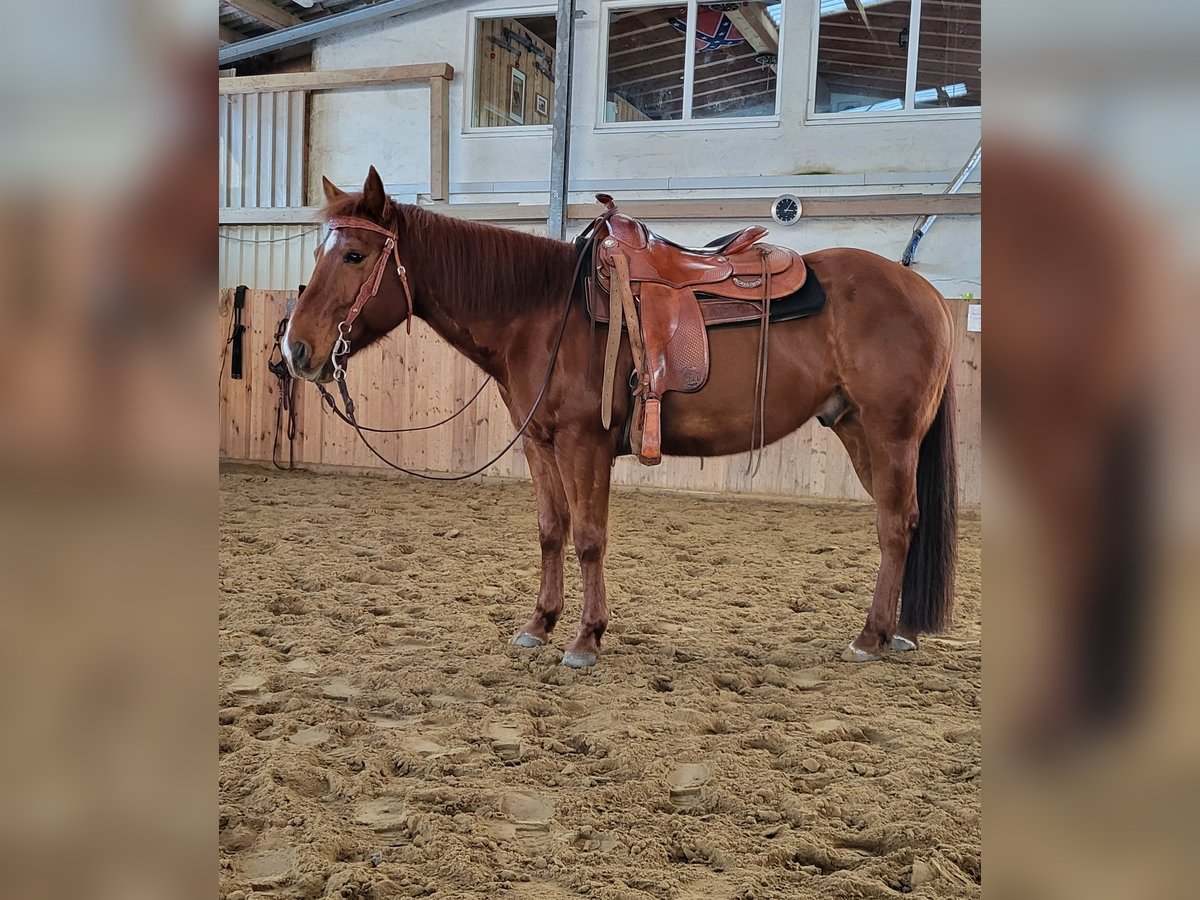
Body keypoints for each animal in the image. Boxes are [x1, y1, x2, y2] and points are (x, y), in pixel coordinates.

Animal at [283, 170, 955, 672]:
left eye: (354, 254)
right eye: (317, 251)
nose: (295, 350)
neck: (539, 312)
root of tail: (924, 292)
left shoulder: (585, 445)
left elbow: (588, 537)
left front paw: (586, 638)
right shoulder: (540, 444)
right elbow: (551, 531)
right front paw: (539, 624)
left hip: (890, 437)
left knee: (896, 526)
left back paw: (871, 638)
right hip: (856, 431)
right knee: (902, 522)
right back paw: (896, 632)